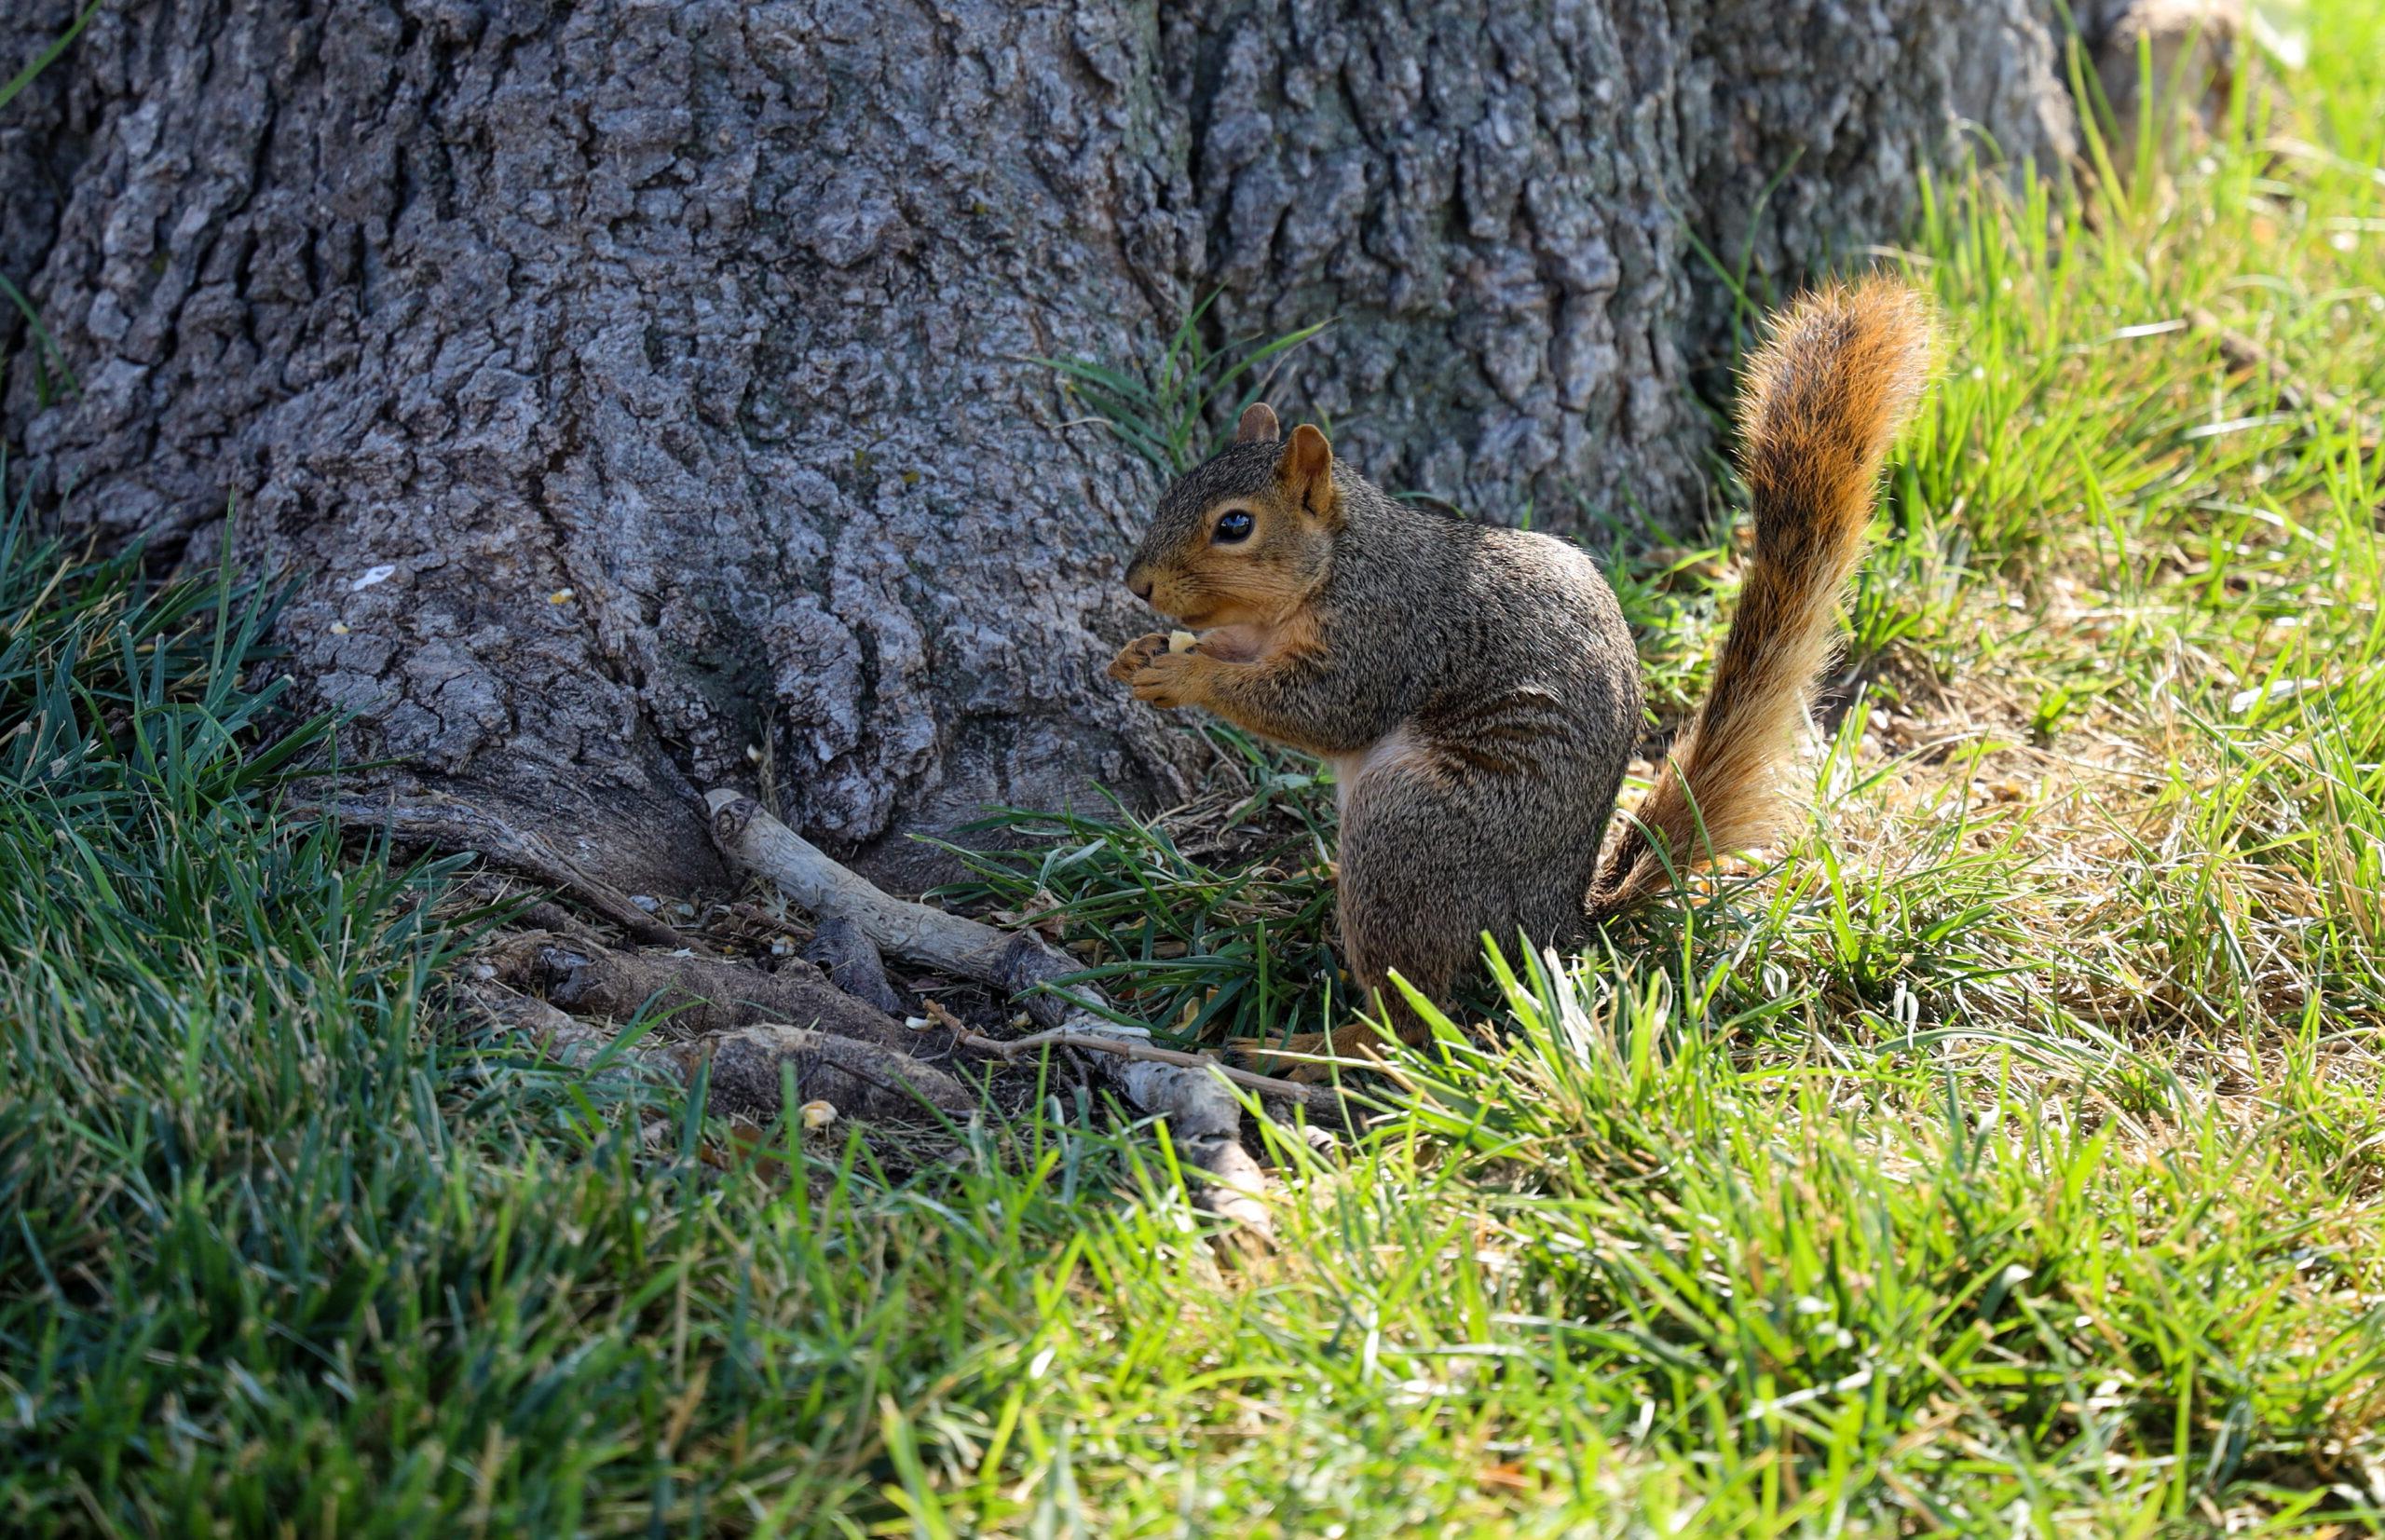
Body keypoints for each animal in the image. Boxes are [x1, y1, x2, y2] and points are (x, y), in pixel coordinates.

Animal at [1106, 279, 1927, 1072]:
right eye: (1175, 489)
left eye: (1234, 525)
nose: (1136, 583)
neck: (1338, 562)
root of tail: (1557, 925)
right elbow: (1243, 652)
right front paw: (1144, 653)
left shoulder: (1383, 634)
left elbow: (1325, 711)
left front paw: (1185, 675)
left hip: (1412, 831)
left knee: (1413, 1021)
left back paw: (1314, 1048)